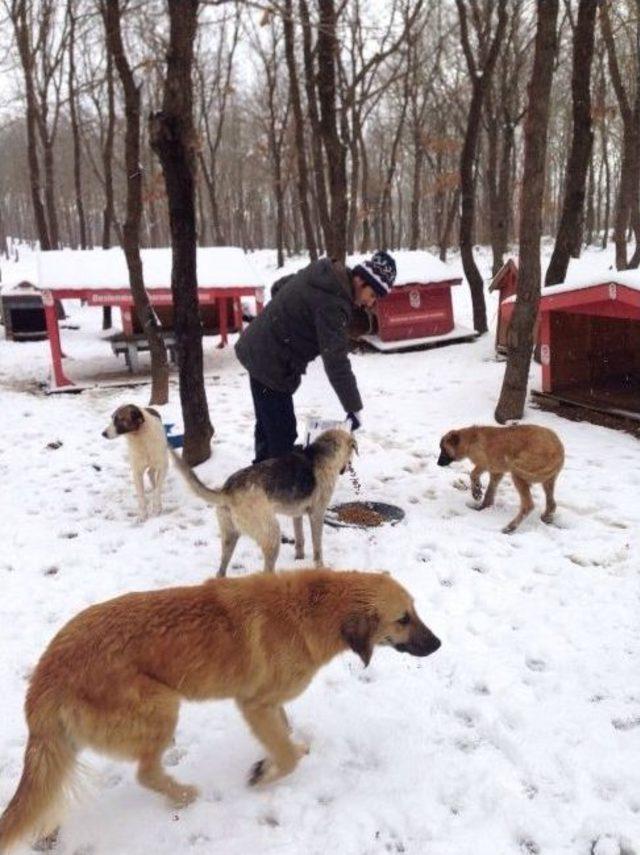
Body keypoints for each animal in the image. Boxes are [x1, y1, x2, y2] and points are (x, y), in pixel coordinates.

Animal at [0, 568, 440, 848]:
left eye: (416, 610)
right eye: (403, 619)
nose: (437, 644)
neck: (313, 610)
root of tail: (46, 675)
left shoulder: (269, 704)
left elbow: (285, 735)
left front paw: (279, 756)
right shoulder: (254, 704)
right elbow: (286, 755)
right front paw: (265, 775)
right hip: (163, 707)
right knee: (146, 773)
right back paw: (183, 796)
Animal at [170, 428, 358, 576]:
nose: (347, 468)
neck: (321, 454)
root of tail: (227, 491)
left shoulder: (297, 514)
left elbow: (300, 539)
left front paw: (299, 558)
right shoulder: (317, 515)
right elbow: (317, 547)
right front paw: (320, 567)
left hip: (230, 536)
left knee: (221, 571)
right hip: (272, 533)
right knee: (267, 572)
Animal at [436, 424, 564, 532]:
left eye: (443, 449)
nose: (438, 464)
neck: (470, 439)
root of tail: (559, 452)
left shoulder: (483, 464)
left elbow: (472, 475)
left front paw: (476, 492)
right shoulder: (496, 473)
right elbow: (490, 492)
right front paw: (483, 506)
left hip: (518, 474)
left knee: (528, 505)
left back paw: (510, 527)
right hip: (548, 481)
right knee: (552, 504)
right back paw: (547, 518)